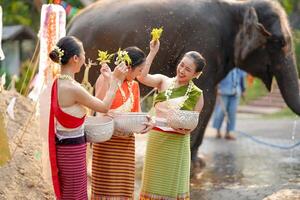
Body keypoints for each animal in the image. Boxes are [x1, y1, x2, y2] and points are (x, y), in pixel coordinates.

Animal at [68, 0, 300, 167]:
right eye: (279, 42)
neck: (239, 6)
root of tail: (72, 23)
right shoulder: (206, 42)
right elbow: (208, 100)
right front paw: (197, 165)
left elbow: (207, 101)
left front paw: (198, 163)